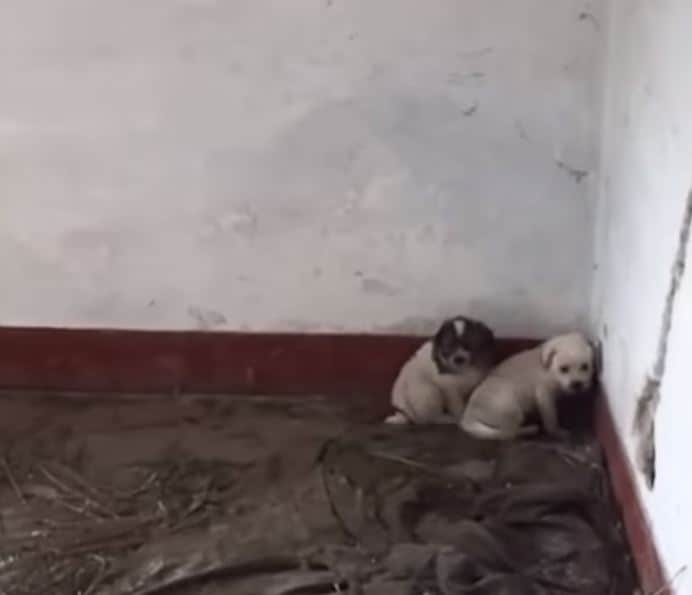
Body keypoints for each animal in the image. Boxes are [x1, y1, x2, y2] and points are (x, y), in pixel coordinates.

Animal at [460, 332, 596, 440]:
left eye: (585, 367)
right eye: (563, 369)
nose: (577, 384)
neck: (549, 369)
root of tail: (469, 414)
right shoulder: (545, 396)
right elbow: (551, 419)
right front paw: (557, 432)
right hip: (512, 409)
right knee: (508, 434)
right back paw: (530, 430)